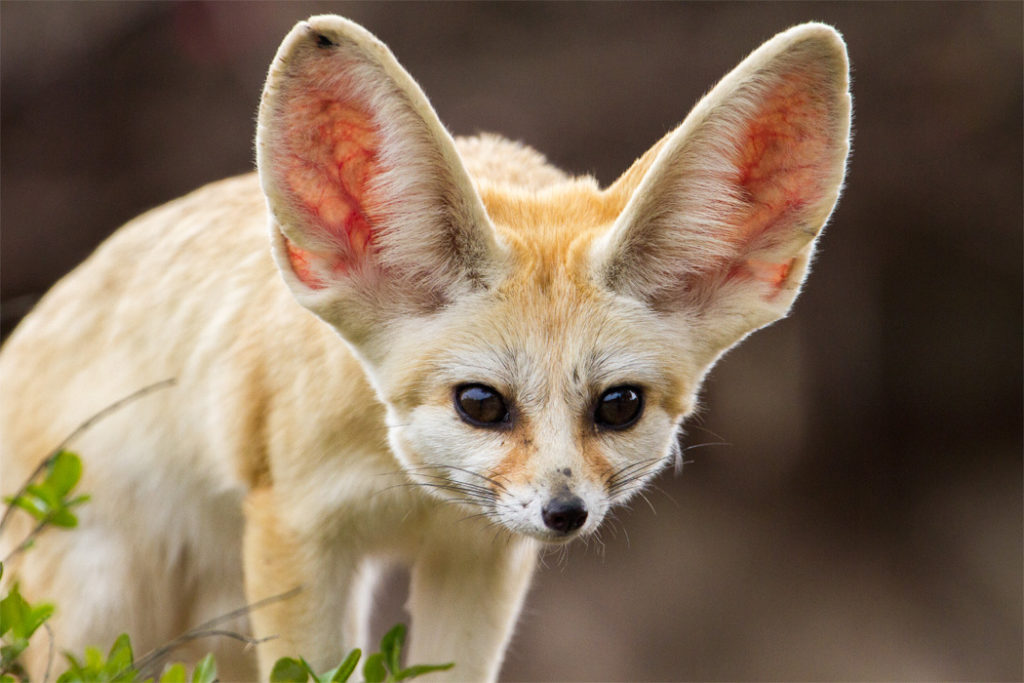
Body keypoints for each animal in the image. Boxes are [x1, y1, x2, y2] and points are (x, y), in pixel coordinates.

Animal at [0, 14, 851, 682]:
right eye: (480, 403)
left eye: (618, 406)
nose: (565, 512)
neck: (410, 495)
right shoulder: (297, 528)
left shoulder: (479, 556)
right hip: (104, 601)